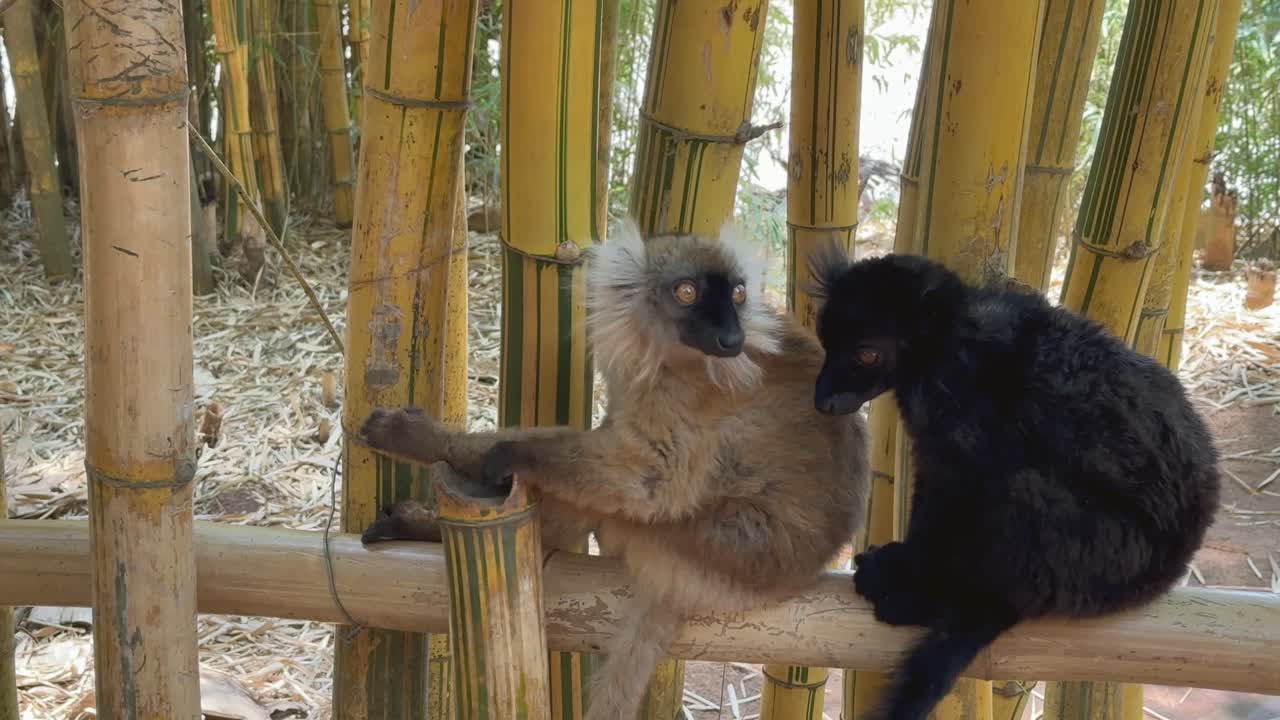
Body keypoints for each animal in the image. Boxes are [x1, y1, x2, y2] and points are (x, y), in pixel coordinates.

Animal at [357, 218, 872, 720]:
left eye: (739, 294)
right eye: (687, 292)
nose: (733, 338)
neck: (670, 354)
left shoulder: (683, 396)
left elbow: (653, 483)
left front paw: (456, 445)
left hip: (719, 548)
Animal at [805, 249, 1221, 720]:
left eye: (867, 355)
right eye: (826, 342)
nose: (823, 399)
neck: (942, 335)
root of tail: (1169, 569)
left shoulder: (953, 393)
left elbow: (954, 482)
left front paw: (908, 571)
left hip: (1104, 560)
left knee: (1014, 490)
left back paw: (947, 598)